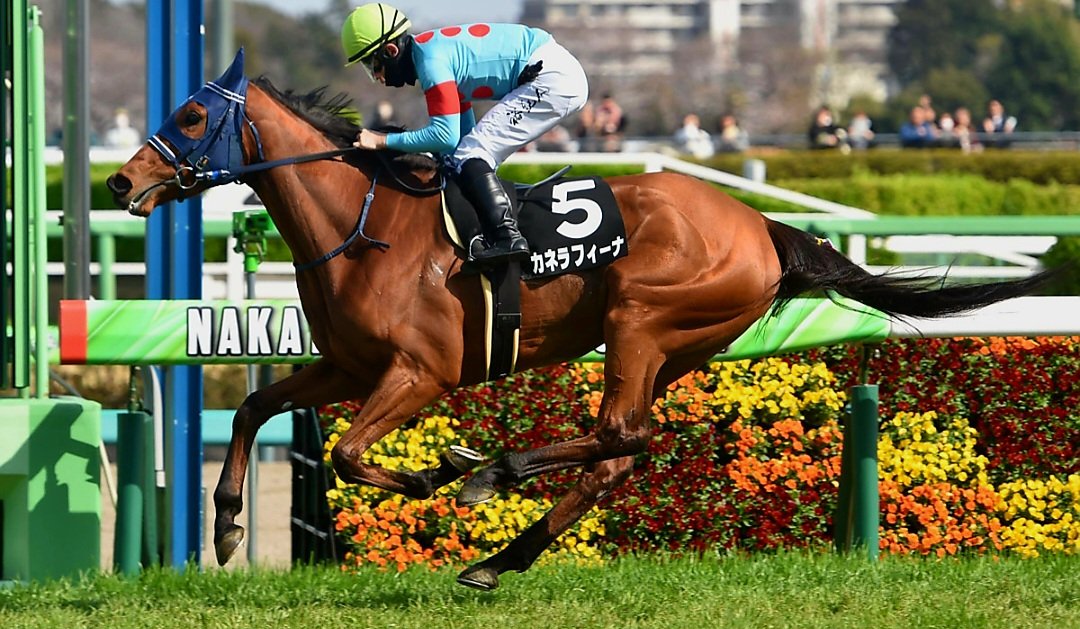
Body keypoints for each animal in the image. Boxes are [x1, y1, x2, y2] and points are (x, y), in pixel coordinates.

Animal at [107, 51, 1055, 590]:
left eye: (192, 115)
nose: (119, 181)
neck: (364, 224)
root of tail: (762, 226)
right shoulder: (347, 363)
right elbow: (256, 405)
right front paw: (226, 524)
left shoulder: (419, 372)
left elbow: (343, 452)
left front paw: (432, 474)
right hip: (671, 344)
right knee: (619, 453)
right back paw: (496, 558)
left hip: (642, 318)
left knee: (620, 436)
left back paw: (493, 472)